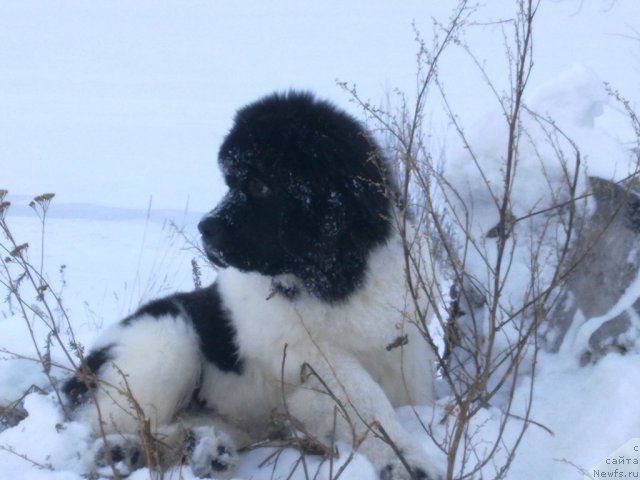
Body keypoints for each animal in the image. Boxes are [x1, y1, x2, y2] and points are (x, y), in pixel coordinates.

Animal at [63, 92, 440, 478]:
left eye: (259, 186)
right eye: (231, 184)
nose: (204, 228)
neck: (337, 279)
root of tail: (83, 368)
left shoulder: (408, 350)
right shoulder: (312, 362)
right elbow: (366, 401)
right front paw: (408, 461)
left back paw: (200, 449)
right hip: (168, 344)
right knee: (102, 423)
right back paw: (120, 450)